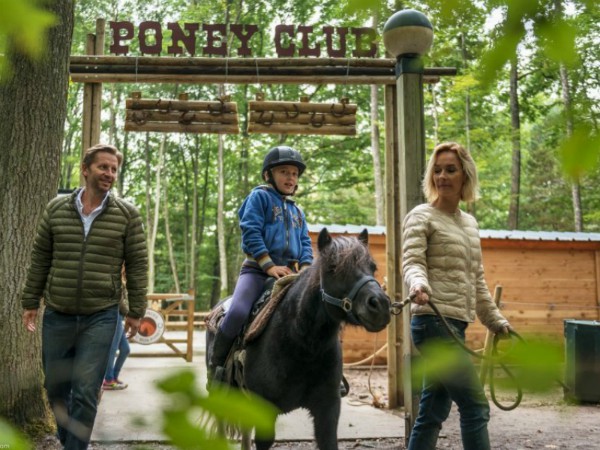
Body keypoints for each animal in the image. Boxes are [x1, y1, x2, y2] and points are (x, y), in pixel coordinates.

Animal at [207, 229, 394, 450]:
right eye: (332, 268)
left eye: (373, 267)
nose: (380, 305)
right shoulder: (264, 409)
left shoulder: (327, 409)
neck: (301, 343)